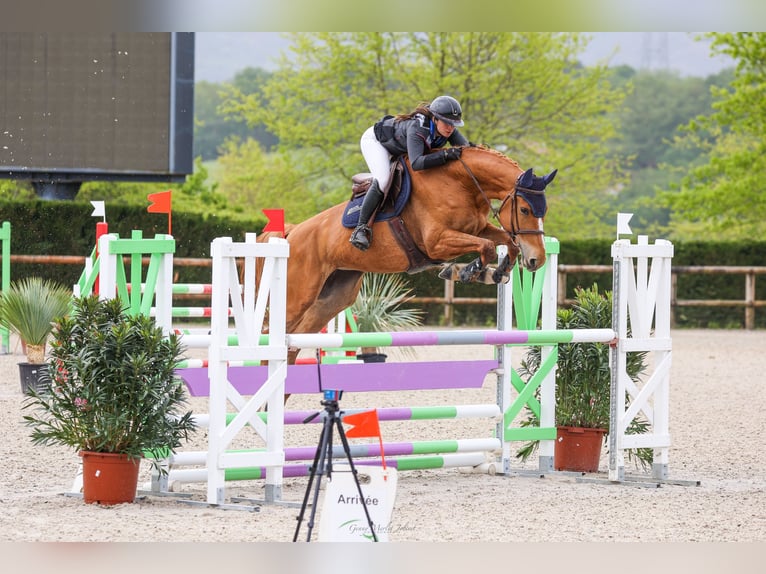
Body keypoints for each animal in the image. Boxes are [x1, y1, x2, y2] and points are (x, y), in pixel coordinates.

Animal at [260, 144, 560, 368]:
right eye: (524, 210)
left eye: (544, 210)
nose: (537, 260)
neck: (461, 183)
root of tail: (293, 232)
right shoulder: (436, 242)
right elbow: (485, 246)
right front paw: (466, 271)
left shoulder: (477, 228)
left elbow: (506, 241)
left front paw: (498, 271)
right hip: (299, 294)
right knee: (269, 334)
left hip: (333, 296)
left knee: (294, 344)